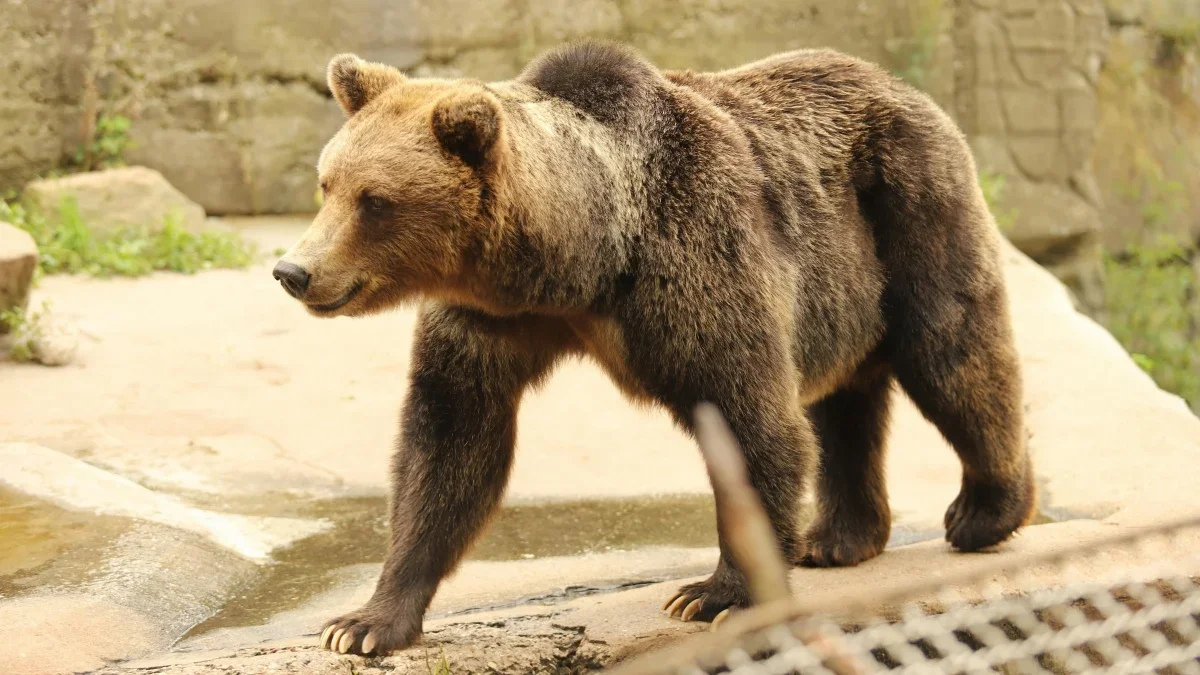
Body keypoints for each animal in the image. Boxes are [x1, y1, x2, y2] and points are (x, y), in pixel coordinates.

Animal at [270, 39, 1032, 653]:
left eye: (375, 200)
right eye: (327, 183)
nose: (293, 270)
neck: (579, 261)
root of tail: (901, 86)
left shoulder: (699, 262)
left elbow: (751, 421)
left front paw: (713, 593)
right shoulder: (489, 319)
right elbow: (449, 441)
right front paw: (364, 623)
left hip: (907, 210)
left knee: (953, 353)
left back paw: (984, 510)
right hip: (838, 290)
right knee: (843, 402)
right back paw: (837, 536)